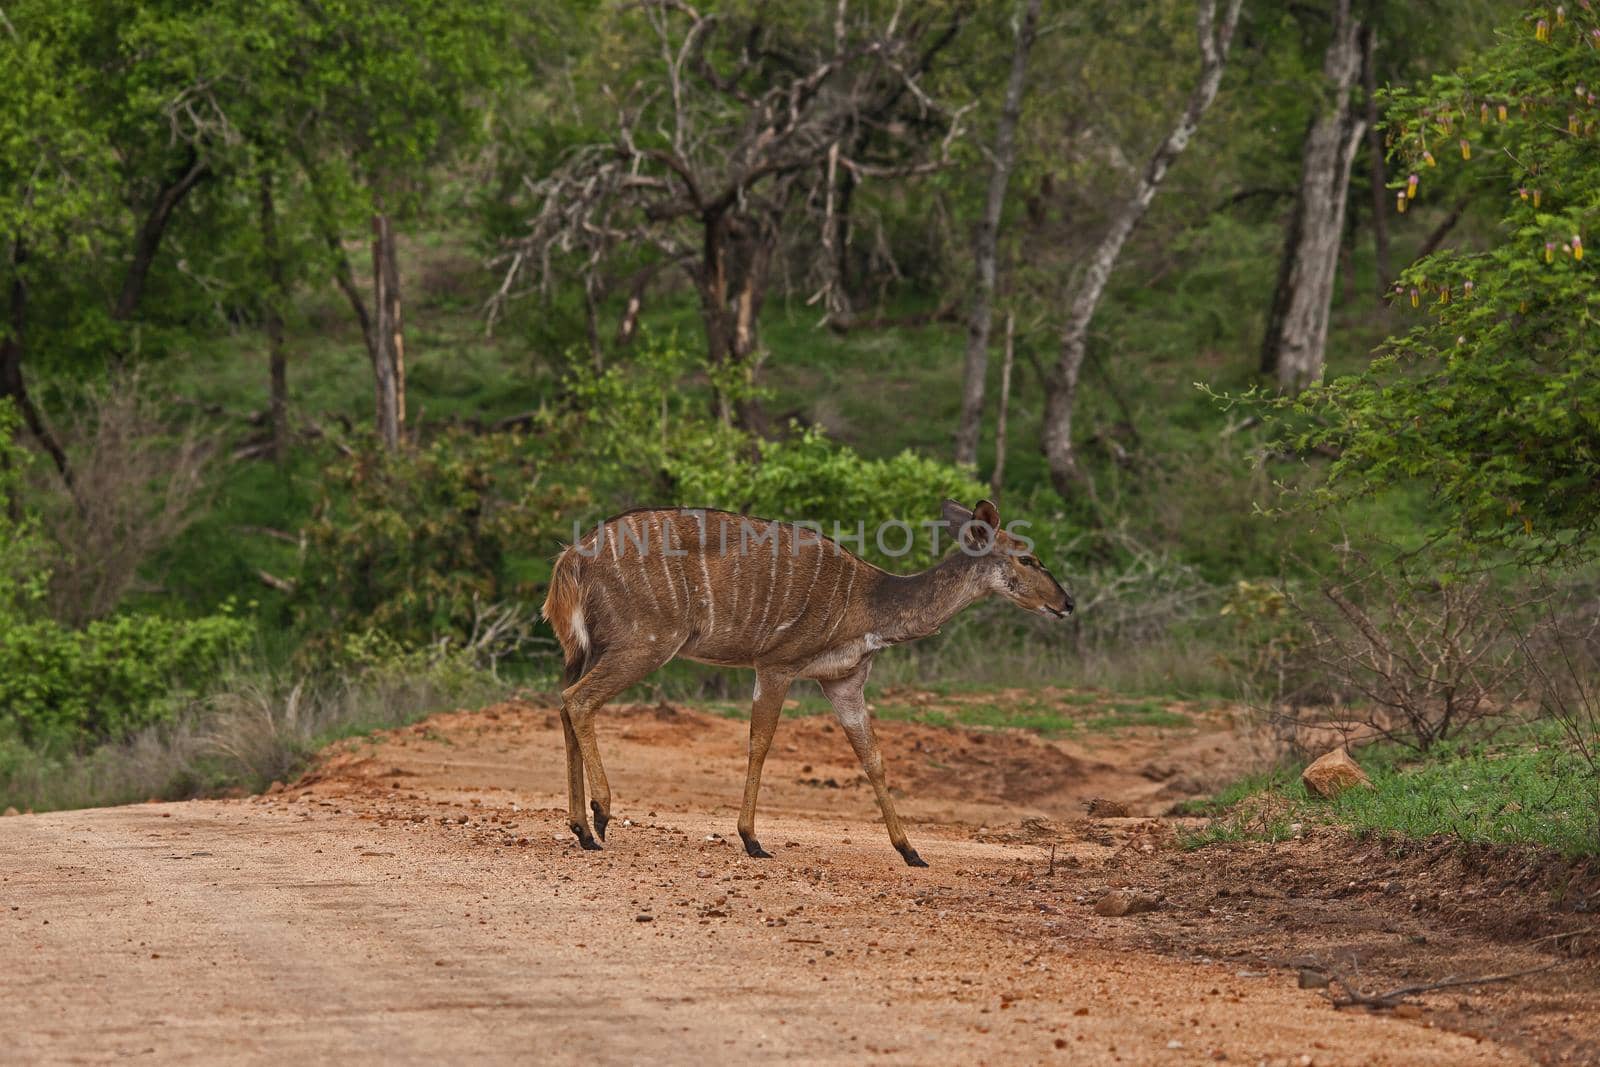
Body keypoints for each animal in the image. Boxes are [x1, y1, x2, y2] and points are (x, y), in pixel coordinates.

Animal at [540, 502, 1075, 870]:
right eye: (1028, 558)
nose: (1067, 603)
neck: (872, 604)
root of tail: (569, 560)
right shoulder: (777, 664)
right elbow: (760, 743)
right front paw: (752, 840)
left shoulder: (843, 681)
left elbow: (873, 758)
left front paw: (911, 851)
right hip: (645, 642)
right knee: (578, 701)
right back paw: (601, 815)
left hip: (587, 649)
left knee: (565, 704)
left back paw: (581, 830)